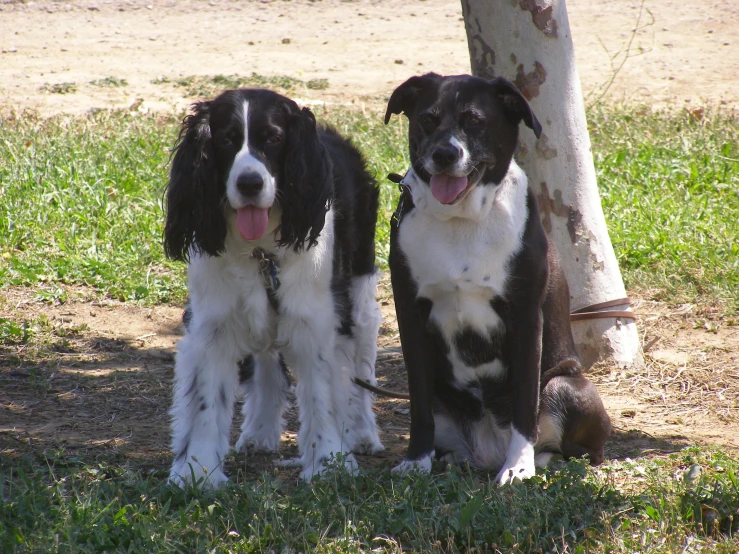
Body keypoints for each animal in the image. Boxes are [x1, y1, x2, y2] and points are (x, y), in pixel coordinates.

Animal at [165, 88, 384, 486]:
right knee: (267, 361)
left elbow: (324, 397)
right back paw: (259, 433)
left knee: (362, 360)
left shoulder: (318, 323)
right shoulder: (212, 325)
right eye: (225, 140)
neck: (260, 252)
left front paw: (329, 464)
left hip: (359, 294)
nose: (249, 184)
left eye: (274, 139)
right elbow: (206, 401)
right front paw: (197, 471)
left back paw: (363, 434)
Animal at [384, 74, 608, 484]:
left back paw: (541, 459)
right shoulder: (411, 315)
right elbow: (418, 404)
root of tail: (486, 449)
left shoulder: (525, 319)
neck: (461, 220)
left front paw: (518, 466)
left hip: (565, 385)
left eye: (475, 120)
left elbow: (524, 402)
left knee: (578, 448)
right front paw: (416, 460)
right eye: (428, 118)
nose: (444, 154)